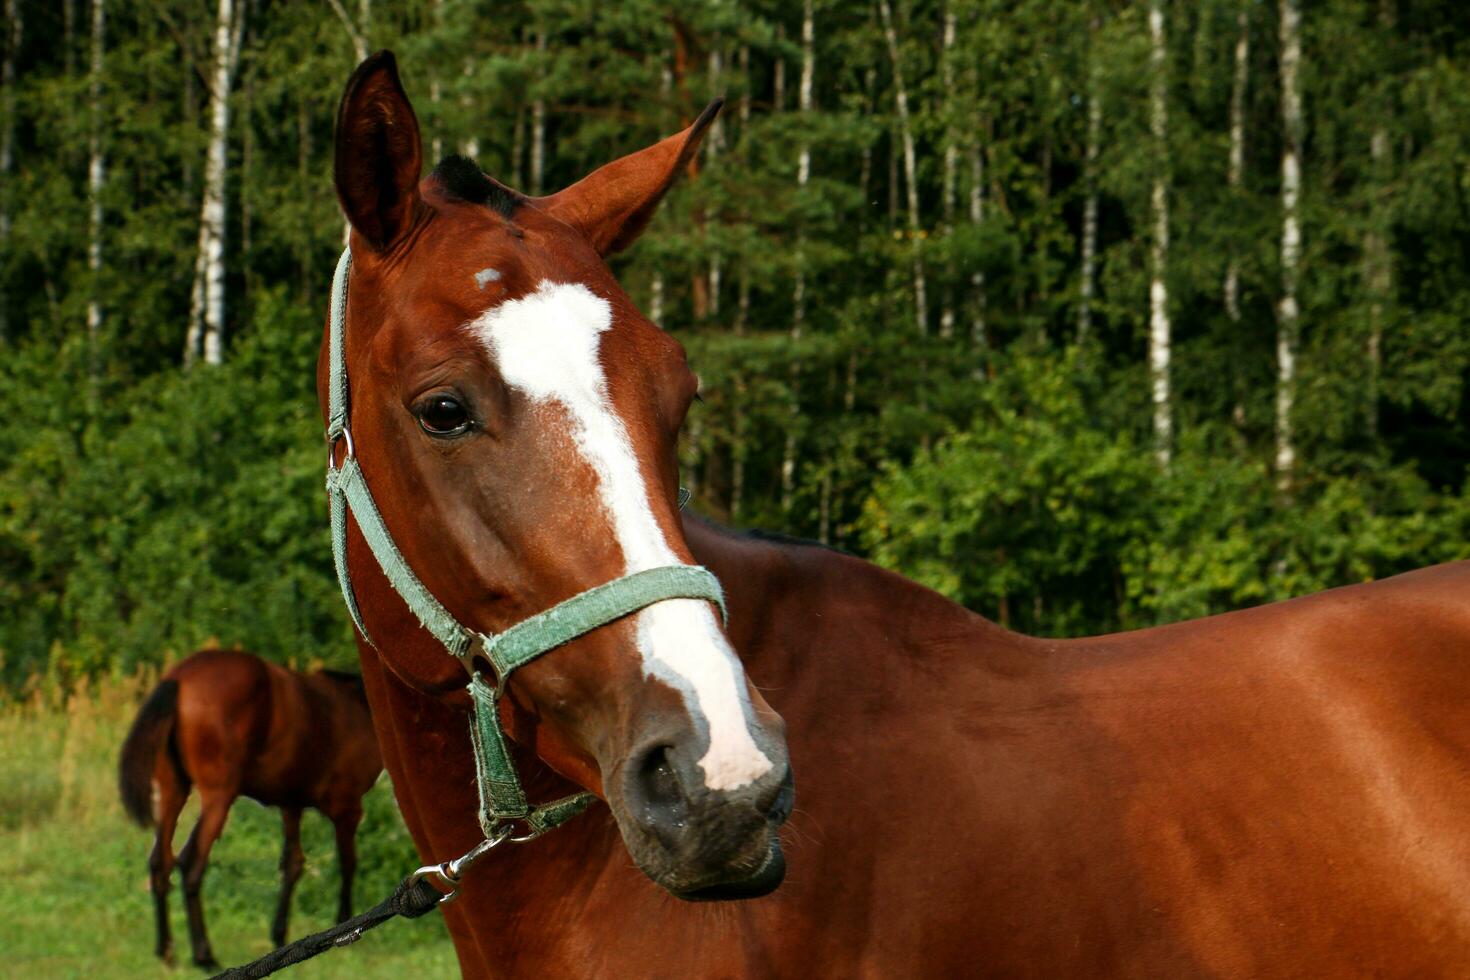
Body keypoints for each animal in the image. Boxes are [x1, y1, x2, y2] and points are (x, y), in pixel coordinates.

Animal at [119, 646, 382, 969]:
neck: (357, 707)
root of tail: (179, 679)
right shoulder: (348, 808)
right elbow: (347, 863)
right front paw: (344, 924)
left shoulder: (291, 804)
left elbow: (293, 864)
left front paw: (280, 935)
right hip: (219, 796)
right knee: (191, 863)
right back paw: (204, 955)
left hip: (173, 790)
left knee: (160, 862)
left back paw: (167, 952)